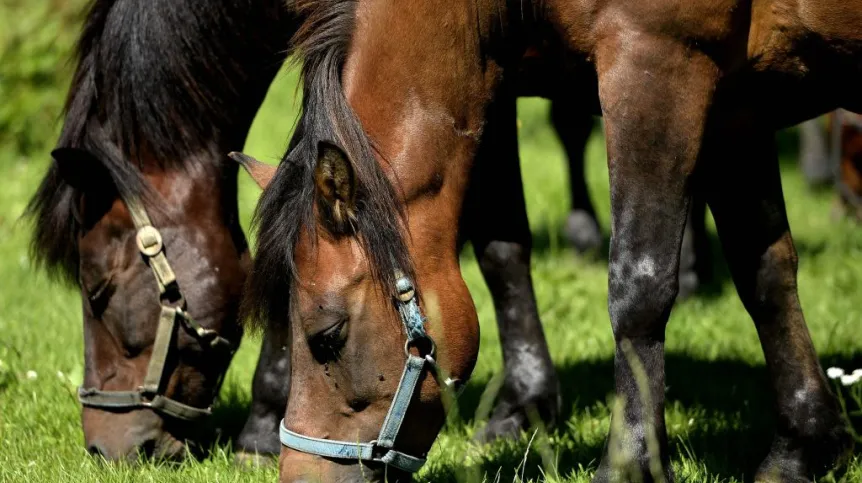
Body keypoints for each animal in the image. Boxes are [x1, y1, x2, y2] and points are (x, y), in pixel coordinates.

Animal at [236, 0, 862, 480]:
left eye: (327, 337)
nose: (298, 476)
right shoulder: (738, 102)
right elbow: (766, 277)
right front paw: (800, 448)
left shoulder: (658, 65)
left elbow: (639, 288)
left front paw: (626, 464)